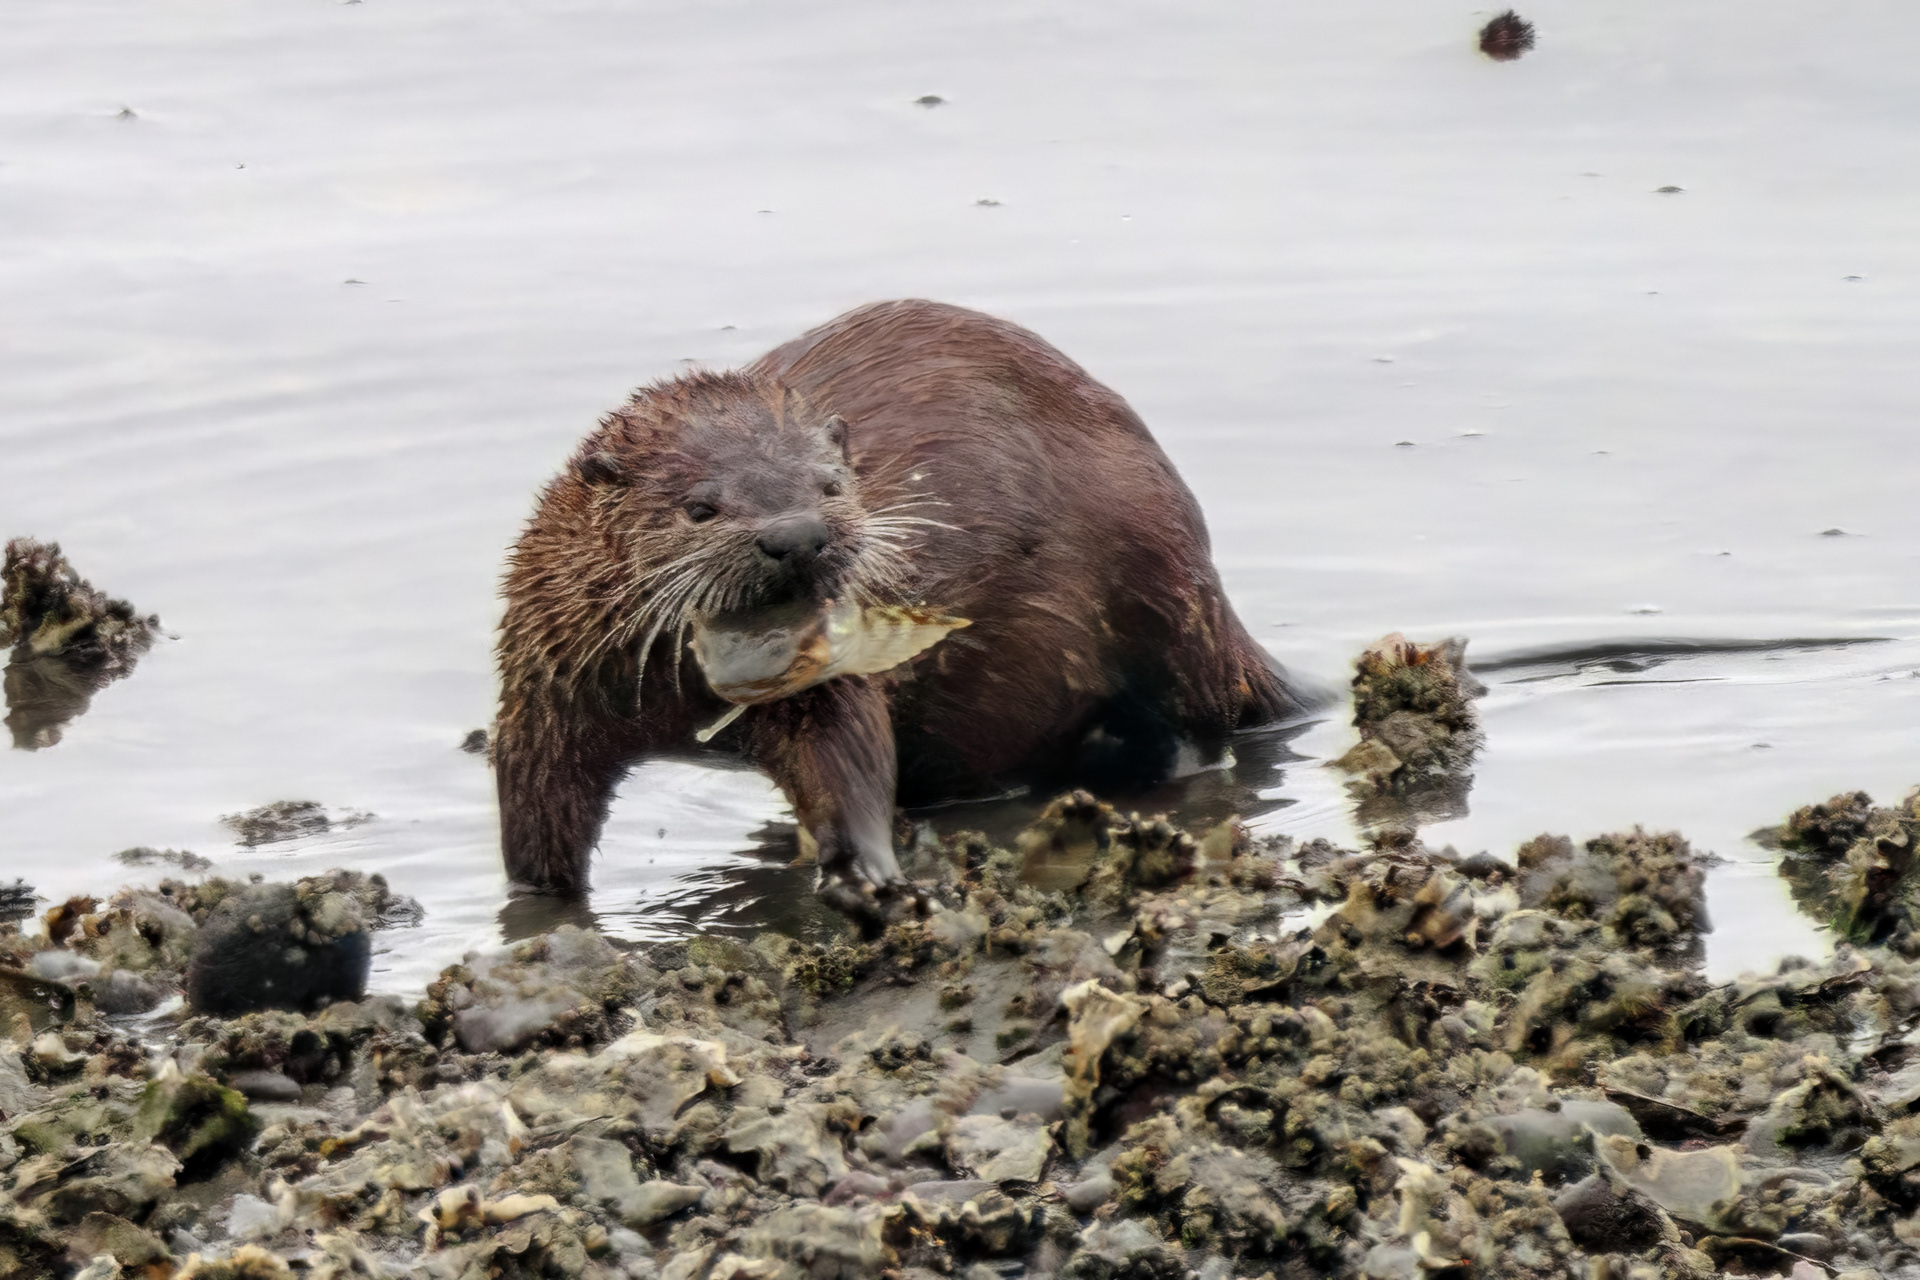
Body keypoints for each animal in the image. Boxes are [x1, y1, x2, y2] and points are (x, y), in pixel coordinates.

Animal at [496, 299, 1305, 919]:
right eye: (701, 507)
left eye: (830, 484)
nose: (796, 535)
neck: (671, 696)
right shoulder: (546, 683)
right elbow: (535, 796)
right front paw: (538, 904)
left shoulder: (825, 684)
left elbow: (846, 751)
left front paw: (862, 872)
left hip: (1161, 585)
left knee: (1200, 723)